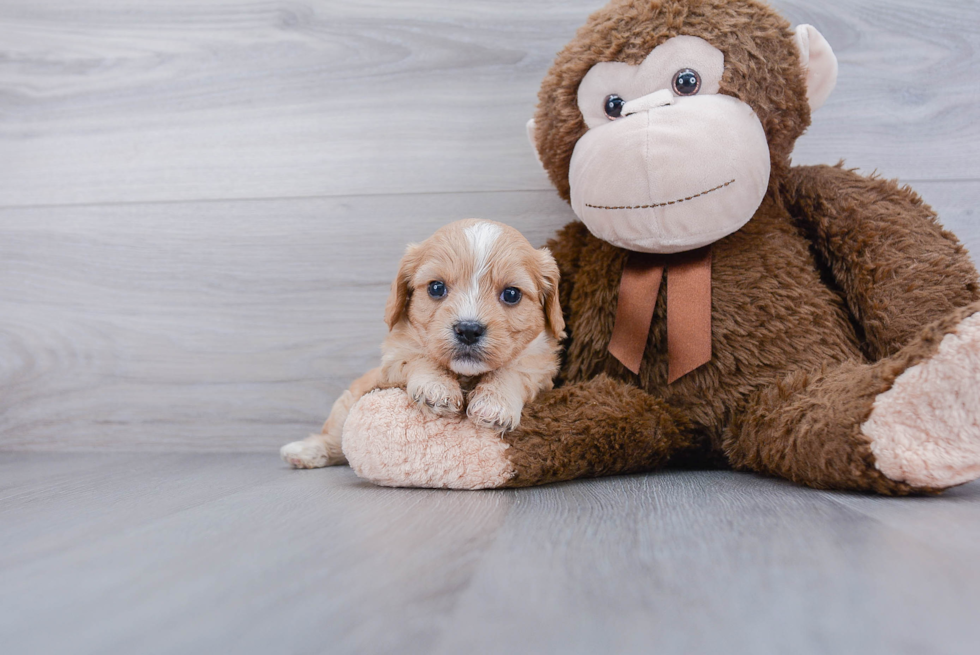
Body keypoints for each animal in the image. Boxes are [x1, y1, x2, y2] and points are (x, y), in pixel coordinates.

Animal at [280, 222, 564, 472]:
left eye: (512, 294)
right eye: (436, 288)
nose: (468, 330)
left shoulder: (539, 366)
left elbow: (513, 370)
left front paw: (495, 403)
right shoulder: (395, 358)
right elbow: (420, 356)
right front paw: (436, 388)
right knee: (335, 438)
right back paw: (304, 452)